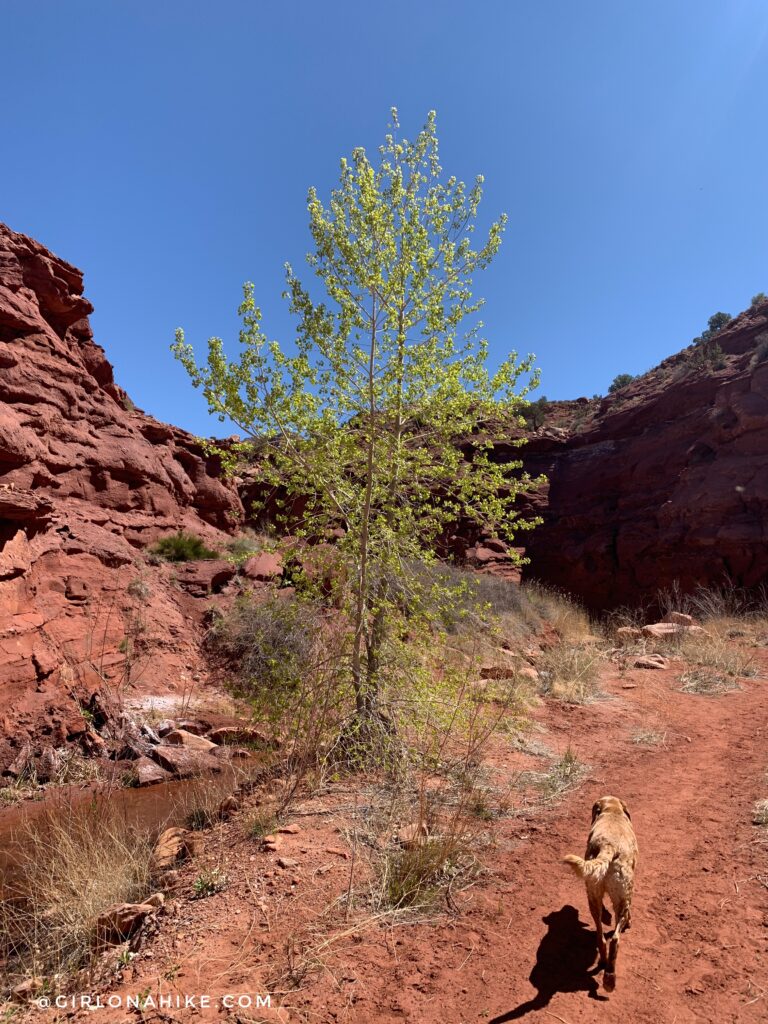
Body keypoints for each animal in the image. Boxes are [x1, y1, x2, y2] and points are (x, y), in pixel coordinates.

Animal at [561, 794, 638, 987]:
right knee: (615, 938)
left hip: (592, 895)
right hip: (623, 896)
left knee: (601, 936)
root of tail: (608, 847)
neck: (612, 811)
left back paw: (606, 969)